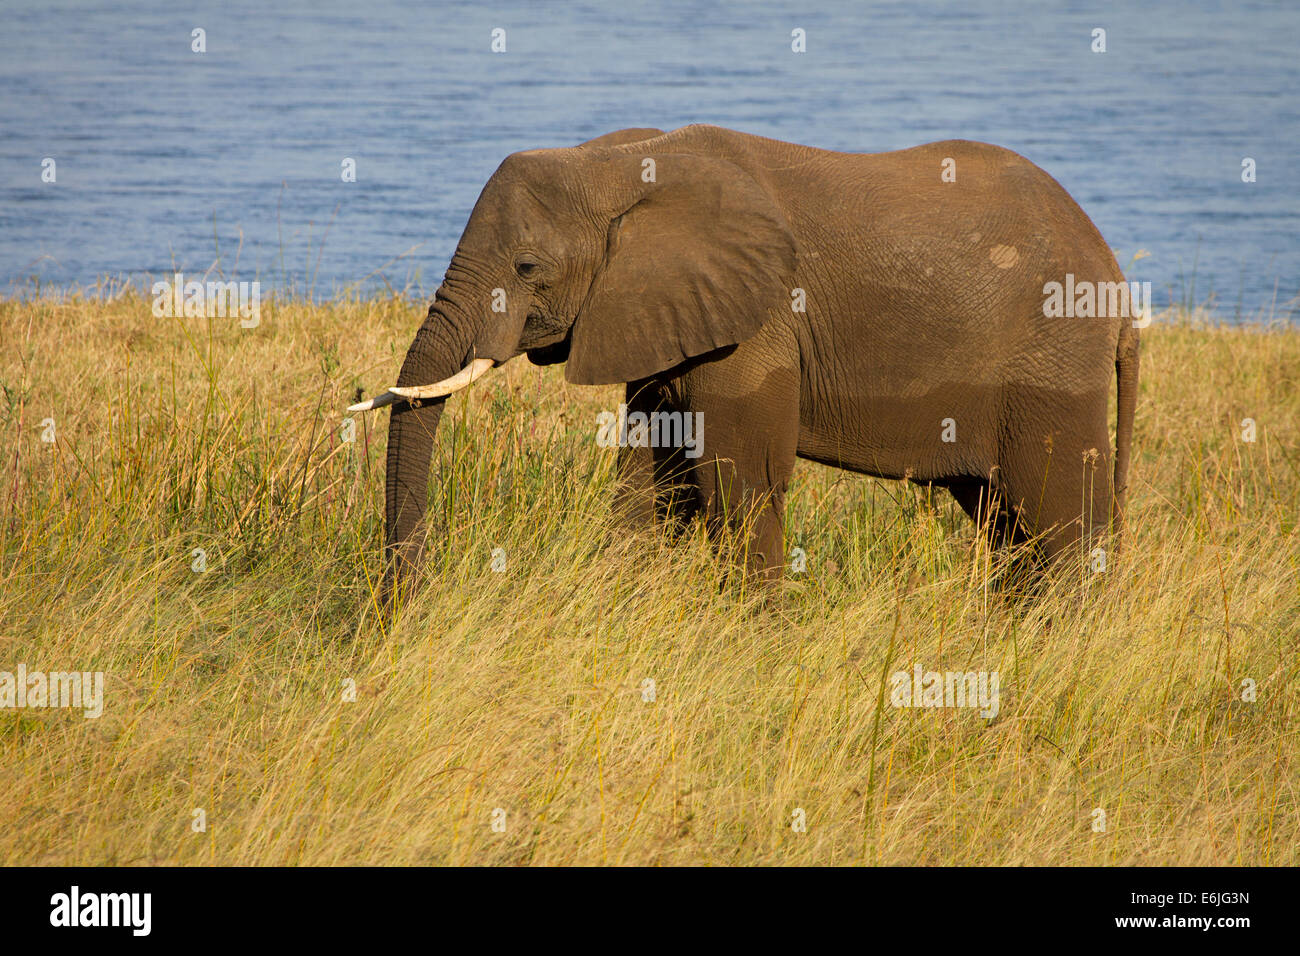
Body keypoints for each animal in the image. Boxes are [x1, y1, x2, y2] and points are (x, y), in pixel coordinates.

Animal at [353, 125, 1138, 590]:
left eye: (525, 268)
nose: (404, 607)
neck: (624, 161)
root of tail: (1116, 279)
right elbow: (646, 487)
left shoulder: (757, 324)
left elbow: (740, 482)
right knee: (1005, 521)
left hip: (1053, 362)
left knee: (1059, 519)